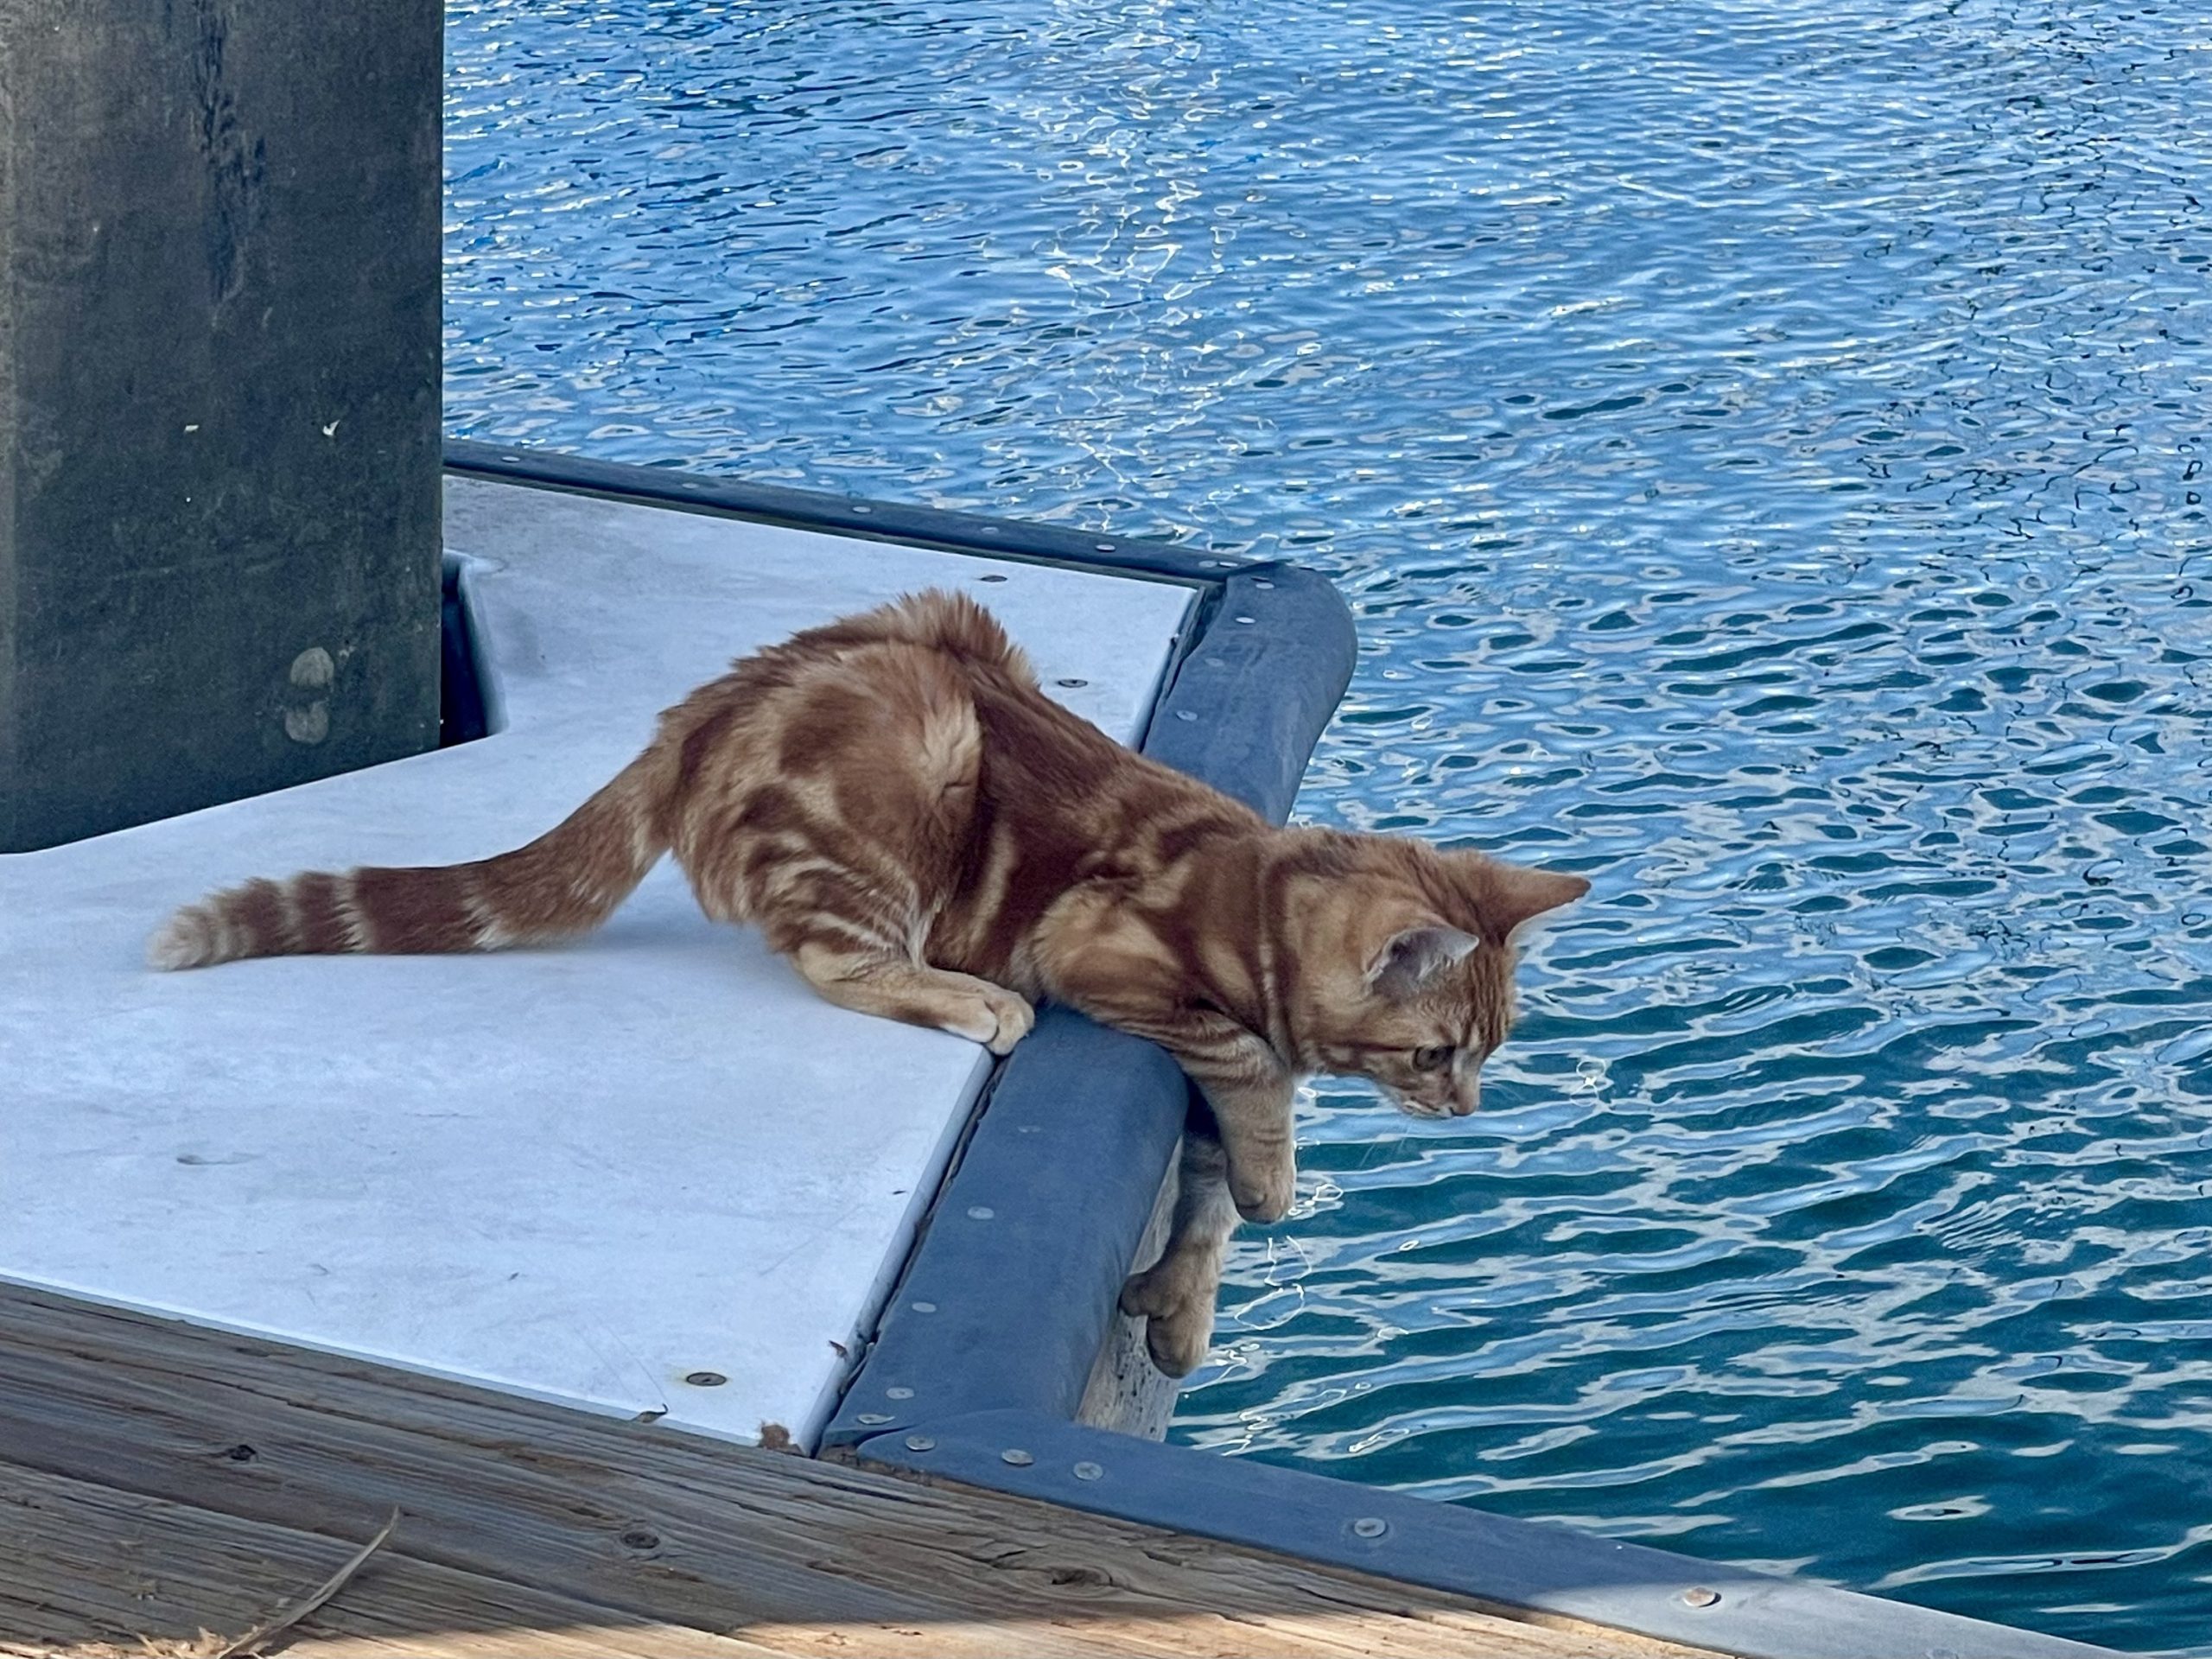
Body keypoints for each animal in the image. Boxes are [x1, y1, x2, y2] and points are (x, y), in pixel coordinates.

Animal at [147, 593, 1583, 1380]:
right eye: (1439, 1054)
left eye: (1488, 1050)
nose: (1468, 1110)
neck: (1248, 885)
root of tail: (695, 717)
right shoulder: (1115, 956)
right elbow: (1247, 1091)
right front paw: (1274, 1178)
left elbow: (1204, 1210)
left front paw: (1182, 1308)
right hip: (916, 756)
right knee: (838, 958)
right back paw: (966, 999)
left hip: (952, 627)